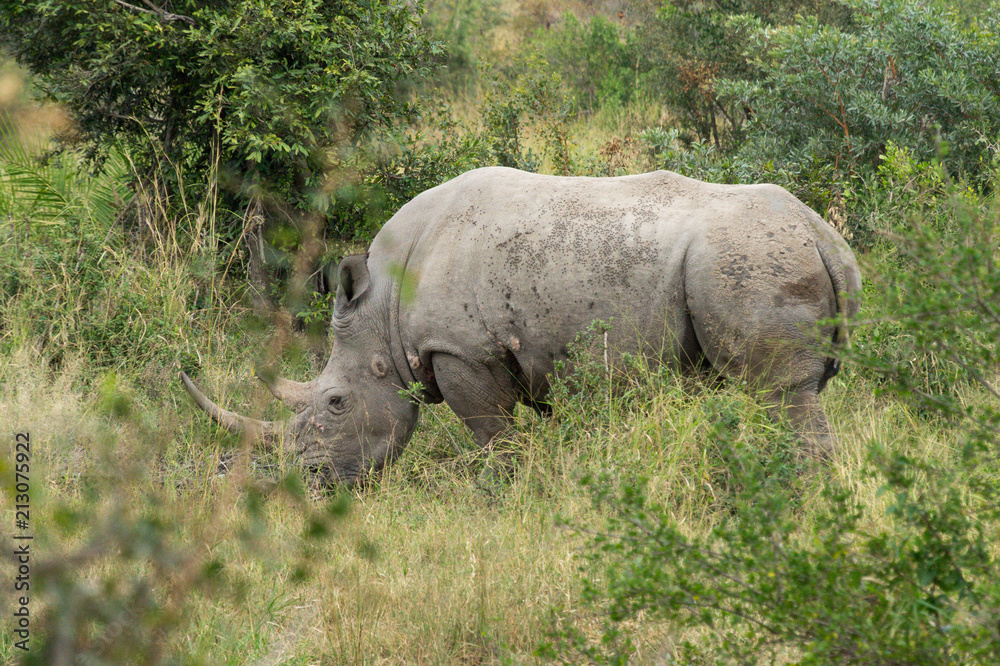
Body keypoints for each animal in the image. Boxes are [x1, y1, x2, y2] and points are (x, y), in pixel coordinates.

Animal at [182, 166, 861, 484]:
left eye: (336, 403)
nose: (313, 482)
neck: (384, 308)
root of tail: (824, 236)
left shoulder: (461, 350)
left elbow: (493, 437)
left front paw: (503, 494)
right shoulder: (535, 349)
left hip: (747, 260)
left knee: (780, 393)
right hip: (762, 257)